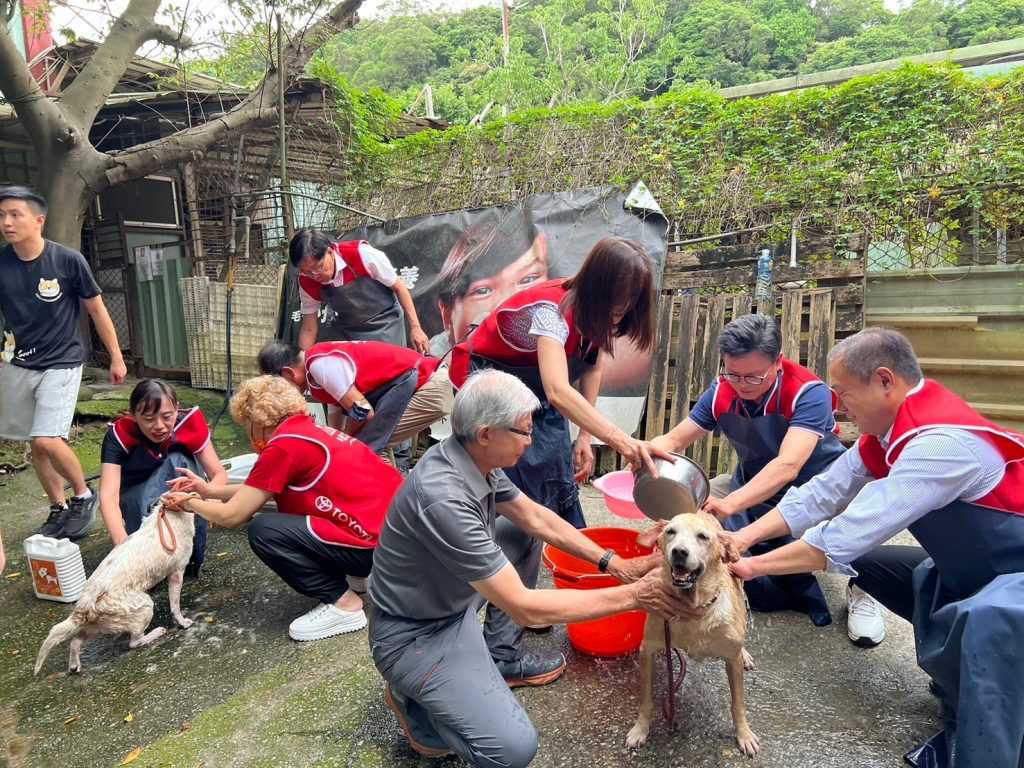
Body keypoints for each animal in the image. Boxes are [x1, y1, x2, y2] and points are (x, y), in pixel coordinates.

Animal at [35, 505, 195, 671]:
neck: (171, 513)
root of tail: (84, 606)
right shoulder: (177, 573)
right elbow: (175, 607)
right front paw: (182, 623)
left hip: (99, 627)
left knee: (74, 642)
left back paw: (74, 665)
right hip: (144, 607)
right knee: (135, 642)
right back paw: (156, 633)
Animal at [622, 514, 761, 761]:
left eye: (702, 537)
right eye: (670, 532)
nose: (679, 551)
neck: (693, 608)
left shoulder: (731, 660)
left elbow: (738, 703)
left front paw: (744, 734)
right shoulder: (647, 651)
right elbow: (646, 700)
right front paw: (640, 729)